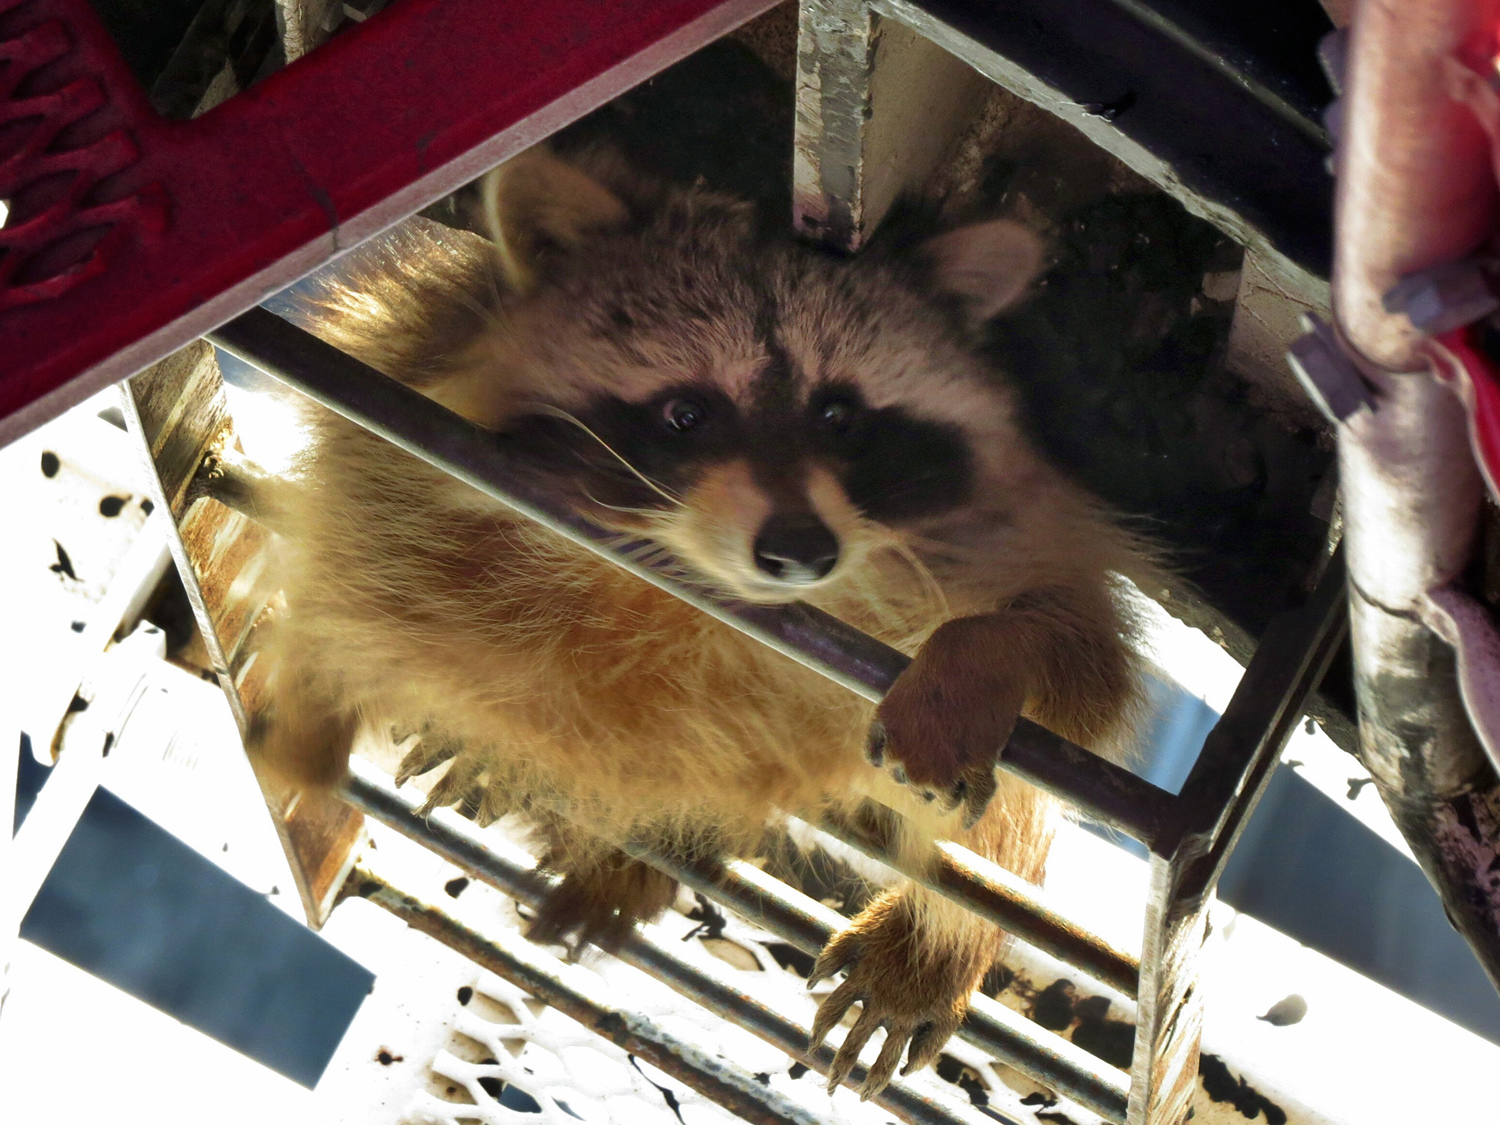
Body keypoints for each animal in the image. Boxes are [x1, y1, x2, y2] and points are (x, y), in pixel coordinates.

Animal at [255, 147, 1146, 1104]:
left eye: (839, 414)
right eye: (688, 412)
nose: (800, 550)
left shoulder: (1027, 533)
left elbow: (1079, 662)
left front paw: (979, 656)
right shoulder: (409, 379)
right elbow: (355, 546)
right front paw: (318, 717)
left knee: (1005, 814)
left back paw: (928, 936)